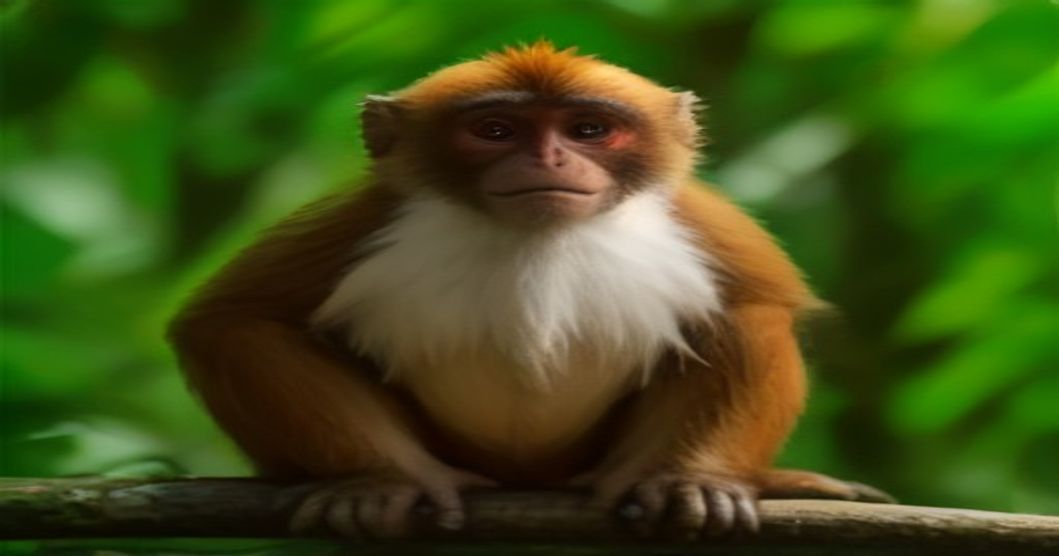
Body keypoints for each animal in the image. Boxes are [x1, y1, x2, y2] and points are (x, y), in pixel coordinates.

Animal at [168, 42, 892, 540]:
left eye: (588, 130)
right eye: (496, 132)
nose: (548, 159)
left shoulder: (698, 220)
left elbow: (752, 307)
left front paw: (693, 480)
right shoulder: (366, 218)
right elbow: (235, 319)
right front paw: (381, 481)